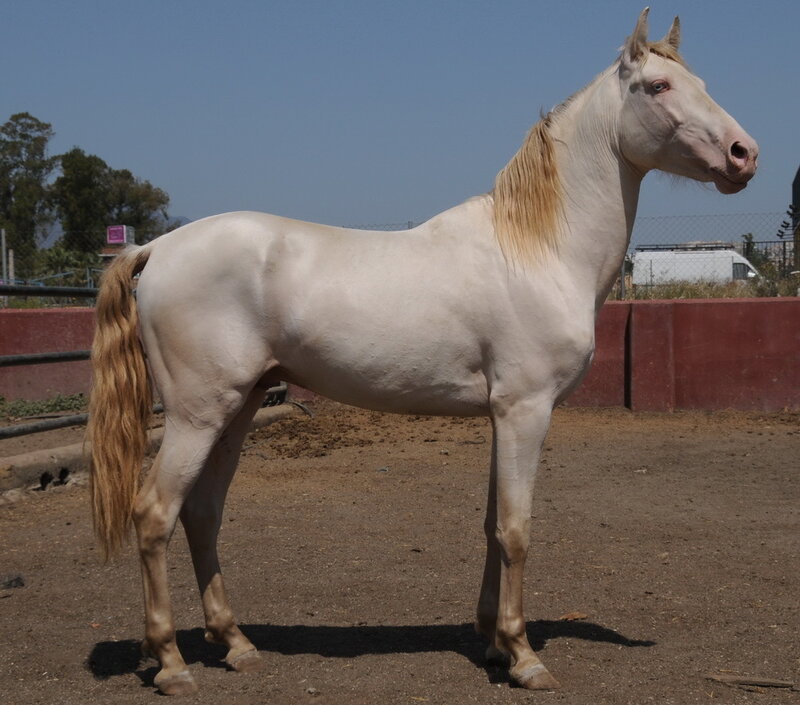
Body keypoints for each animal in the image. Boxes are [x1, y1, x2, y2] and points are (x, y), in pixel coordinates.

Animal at [88, 9, 757, 695]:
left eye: (701, 83)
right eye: (657, 87)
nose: (745, 154)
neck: (538, 249)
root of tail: (156, 249)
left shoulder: (501, 416)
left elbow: (491, 527)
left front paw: (492, 645)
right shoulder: (526, 411)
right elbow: (516, 531)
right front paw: (524, 657)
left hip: (240, 408)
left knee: (202, 514)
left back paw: (236, 645)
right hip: (197, 416)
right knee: (155, 514)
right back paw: (171, 664)